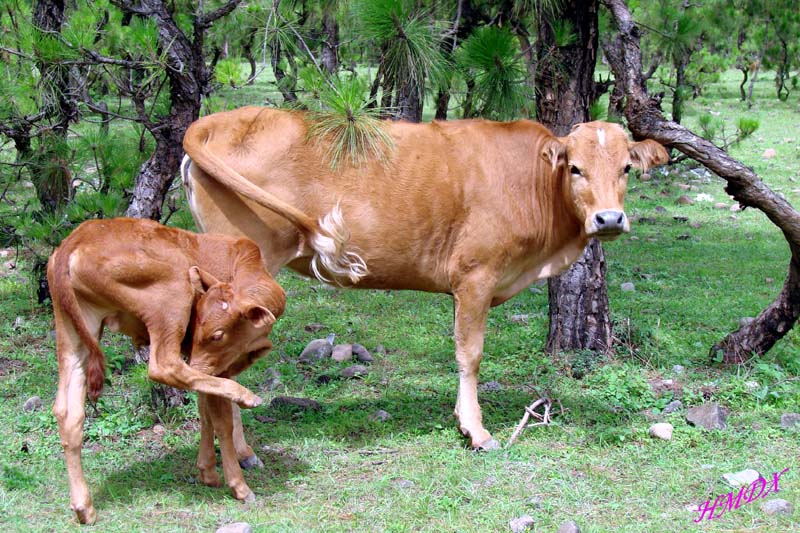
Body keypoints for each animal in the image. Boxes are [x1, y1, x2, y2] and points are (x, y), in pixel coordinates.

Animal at [47, 217, 284, 524]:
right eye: (202, 327)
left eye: (217, 334)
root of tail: (73, 241)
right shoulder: (216, 367)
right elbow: (222, 418)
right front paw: (238, 483)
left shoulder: (211, 364)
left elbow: (205, 410)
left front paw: (208, 470)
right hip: (170, 297)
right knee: (163, 366)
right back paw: (246, 396)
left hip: (75, 334)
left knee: (68, 411)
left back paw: (83, 507)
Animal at [181, 108, 668, 448]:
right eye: (575, 168)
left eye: (626, 168)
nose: (609, 218)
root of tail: (226, 119)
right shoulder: (476, 275)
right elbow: (470, 354)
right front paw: (476, 431)